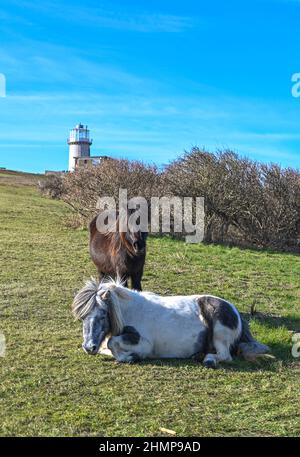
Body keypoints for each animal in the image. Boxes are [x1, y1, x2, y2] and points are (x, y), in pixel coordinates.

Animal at [71, 278, 270, 366]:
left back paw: (208, 360)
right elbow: (107, 347)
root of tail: (233, 309)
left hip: (219, 335)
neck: (131, 310)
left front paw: (130, 357)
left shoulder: (144, 343)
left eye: (103, 315)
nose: (89, 347)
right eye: (82, 317)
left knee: (225, 355)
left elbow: (112, 343)